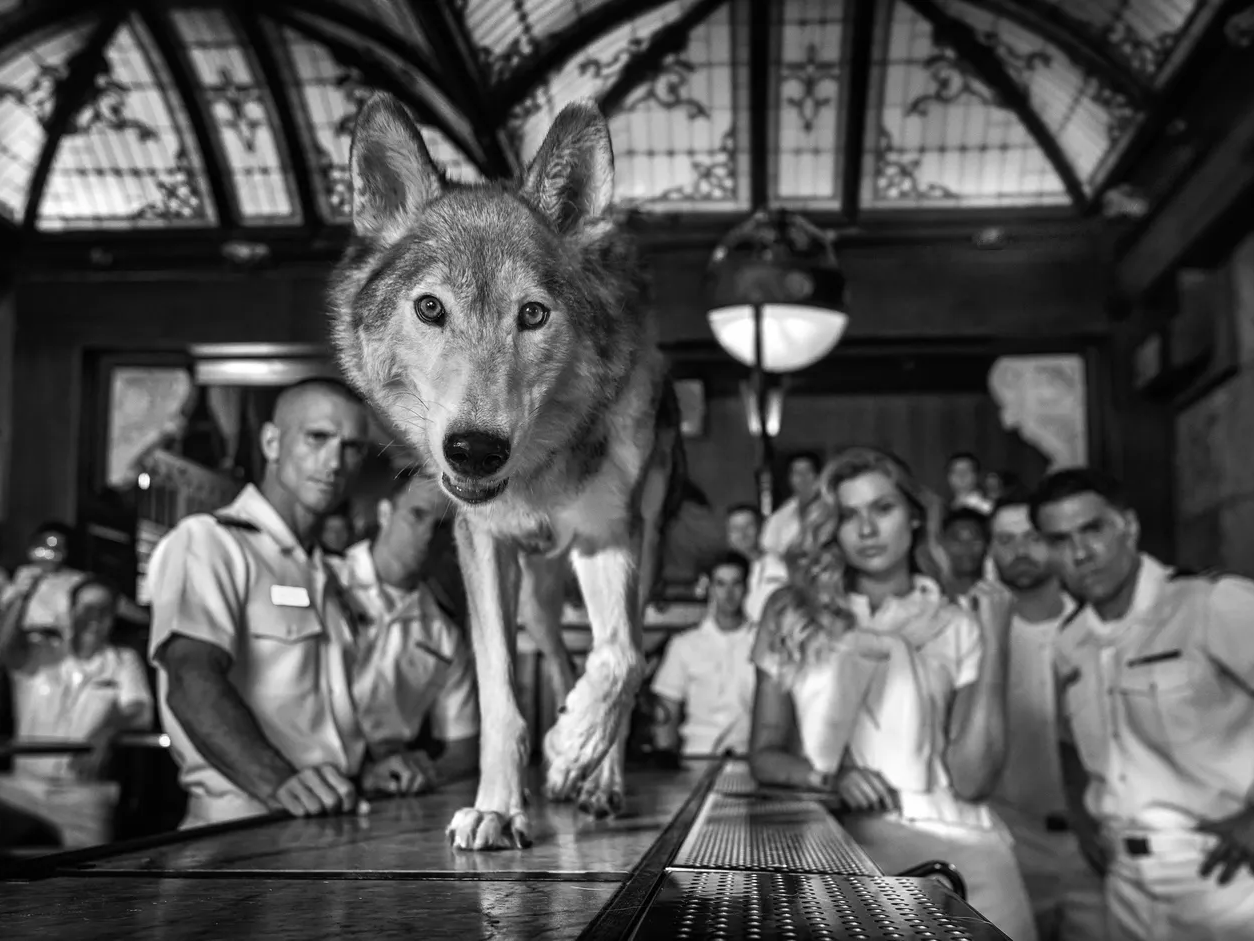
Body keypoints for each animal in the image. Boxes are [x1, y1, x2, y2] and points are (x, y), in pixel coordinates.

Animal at [327, 92, 683, 851]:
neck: (537, 475)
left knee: (626, 652)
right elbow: (500, 696)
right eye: (431, 308)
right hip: (541, 600)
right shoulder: (484, 545)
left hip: (638, 552)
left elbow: (624, 658)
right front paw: (497, 805)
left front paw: (575, 748)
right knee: (563, 656)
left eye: (534, 314)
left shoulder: (611, 536)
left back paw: (597, 776)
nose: (474, 450)